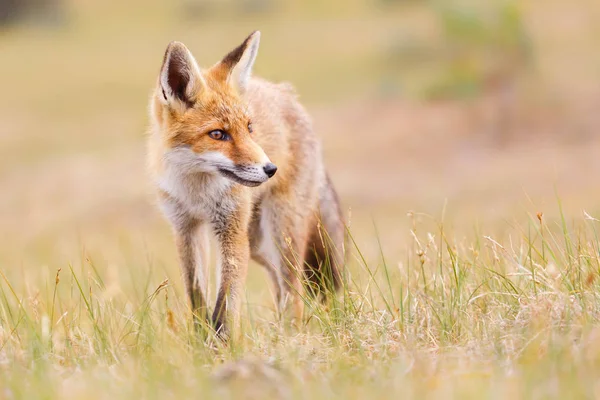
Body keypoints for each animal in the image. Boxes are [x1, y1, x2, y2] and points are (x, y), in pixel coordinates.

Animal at [146, 31, 342, 334]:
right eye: (218, 134)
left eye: (250, 128)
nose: (270, 169)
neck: (197, 192)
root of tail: (287, 93)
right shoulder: (185, 227)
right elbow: (197, 297)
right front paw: (199, 340)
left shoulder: (231, 230)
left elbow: (226, 305)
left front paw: (221, 342)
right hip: (259, 244)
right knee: (281, 286)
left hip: (281, 232)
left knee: (294, 289)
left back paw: (292, 334)